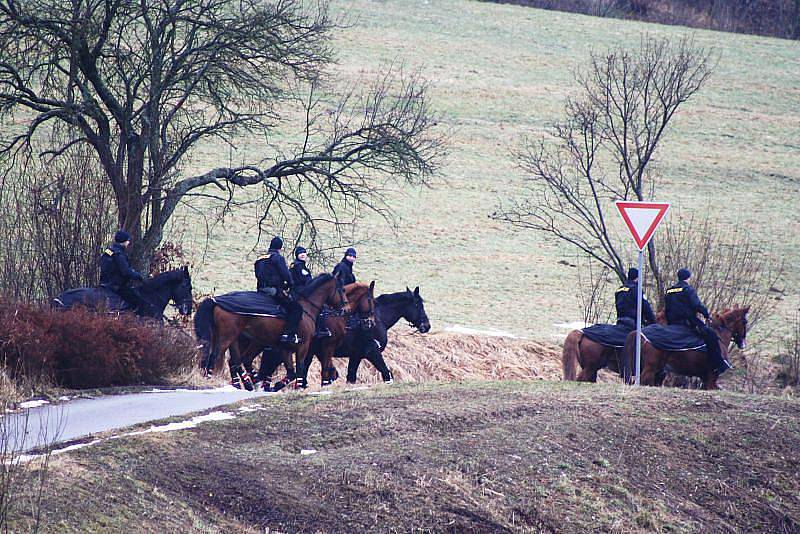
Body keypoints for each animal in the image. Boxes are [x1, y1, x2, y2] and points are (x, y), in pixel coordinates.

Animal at [193, 274, 346, 392]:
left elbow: (292, 372)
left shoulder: (285, 349)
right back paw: (213, 380)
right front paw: (295, 387)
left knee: (236, 361)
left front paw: (276, 385)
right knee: (217, 356)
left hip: (235, 339)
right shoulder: (303, 346)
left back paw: (248, 383)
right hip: (228, 337)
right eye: (341, 289)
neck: (306, 308)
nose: (344, 308)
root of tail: (217, 300)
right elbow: (300, 368)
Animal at [624, 308, 752, 392]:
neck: (719, 336)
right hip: (651, 369)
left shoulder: (705, 378)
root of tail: (640, 334)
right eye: (745, 322)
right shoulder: (712, 377)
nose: (742, 343)